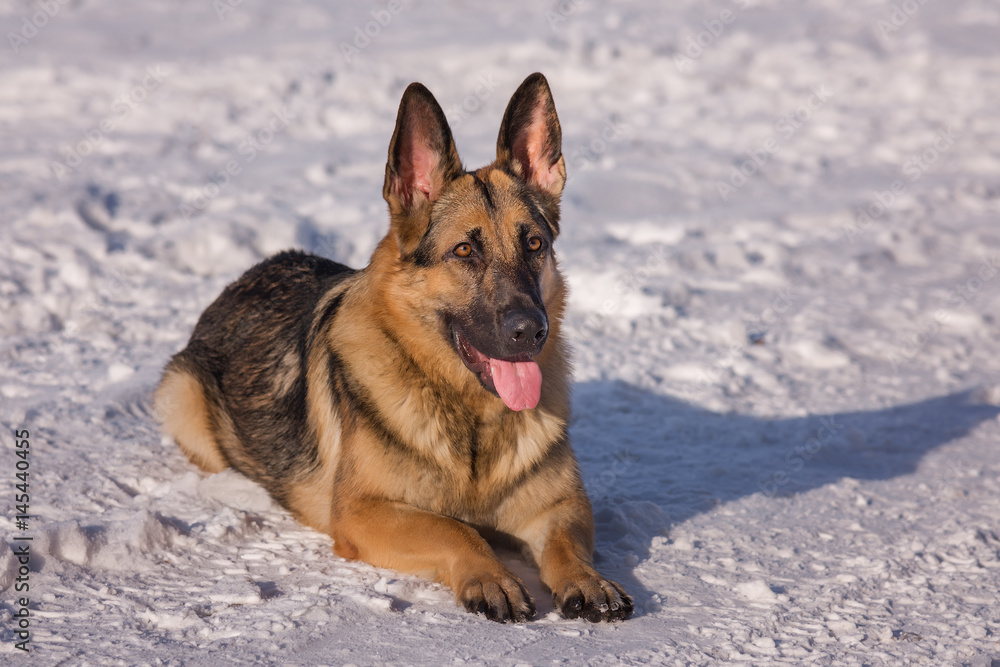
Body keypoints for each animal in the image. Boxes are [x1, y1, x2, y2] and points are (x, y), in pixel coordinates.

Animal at [155, 75, 632, 624]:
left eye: (534, 244)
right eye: (464, 251)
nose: (530, 330)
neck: (471, 418)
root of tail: (244, 277)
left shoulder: (561, 507)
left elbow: (566, 545)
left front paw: (588, 580)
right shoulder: (363, 512)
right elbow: (455, 528)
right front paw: (491, 576)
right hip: (182, 398)